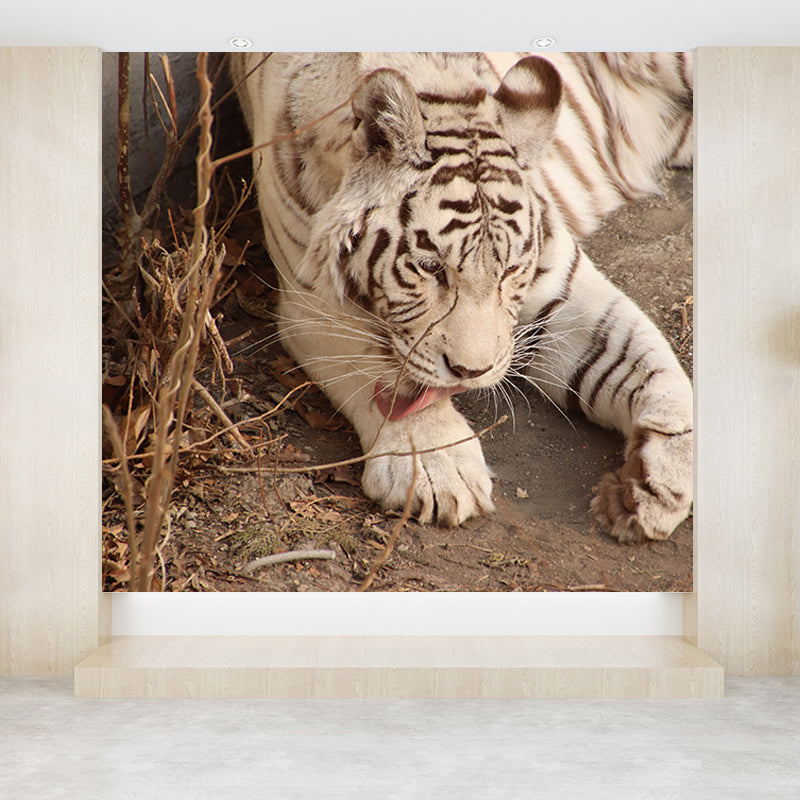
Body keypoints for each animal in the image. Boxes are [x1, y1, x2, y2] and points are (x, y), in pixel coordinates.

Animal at [229, 52, 694, 543]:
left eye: (508, 271)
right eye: (431, 267)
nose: (471, 373)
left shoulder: (560, 286)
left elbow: (648, 362)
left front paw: (661, 481)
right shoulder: (310, 301)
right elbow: (388, 376)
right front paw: (439, 467)